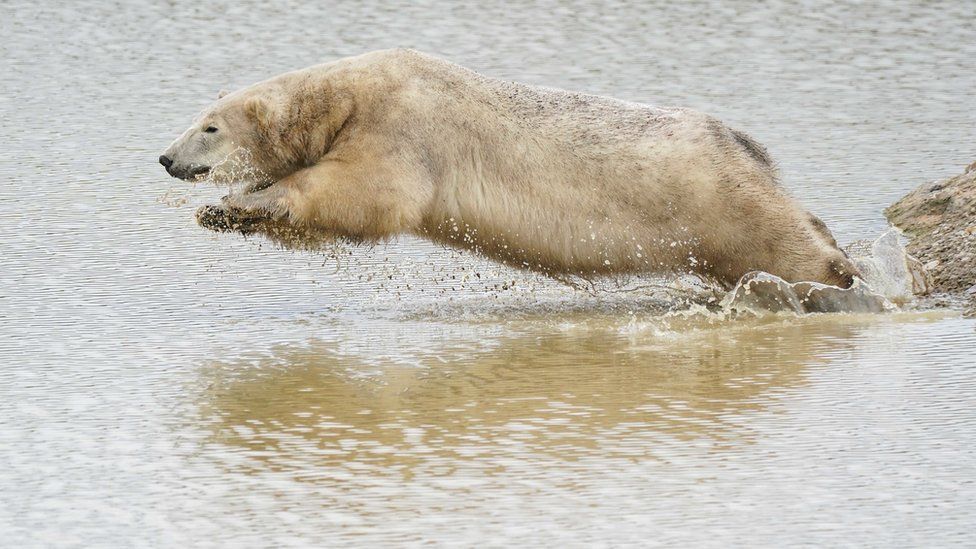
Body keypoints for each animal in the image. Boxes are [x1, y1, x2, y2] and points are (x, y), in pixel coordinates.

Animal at [158, 48, 856, 286]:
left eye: (209, 127)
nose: (166, 159)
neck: (346, 92)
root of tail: (742, 143)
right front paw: (222, 210)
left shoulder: (402, 125)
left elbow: (368, 193)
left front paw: (244, 202)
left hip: (719, 197)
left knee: (784, 239)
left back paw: (841, 274)